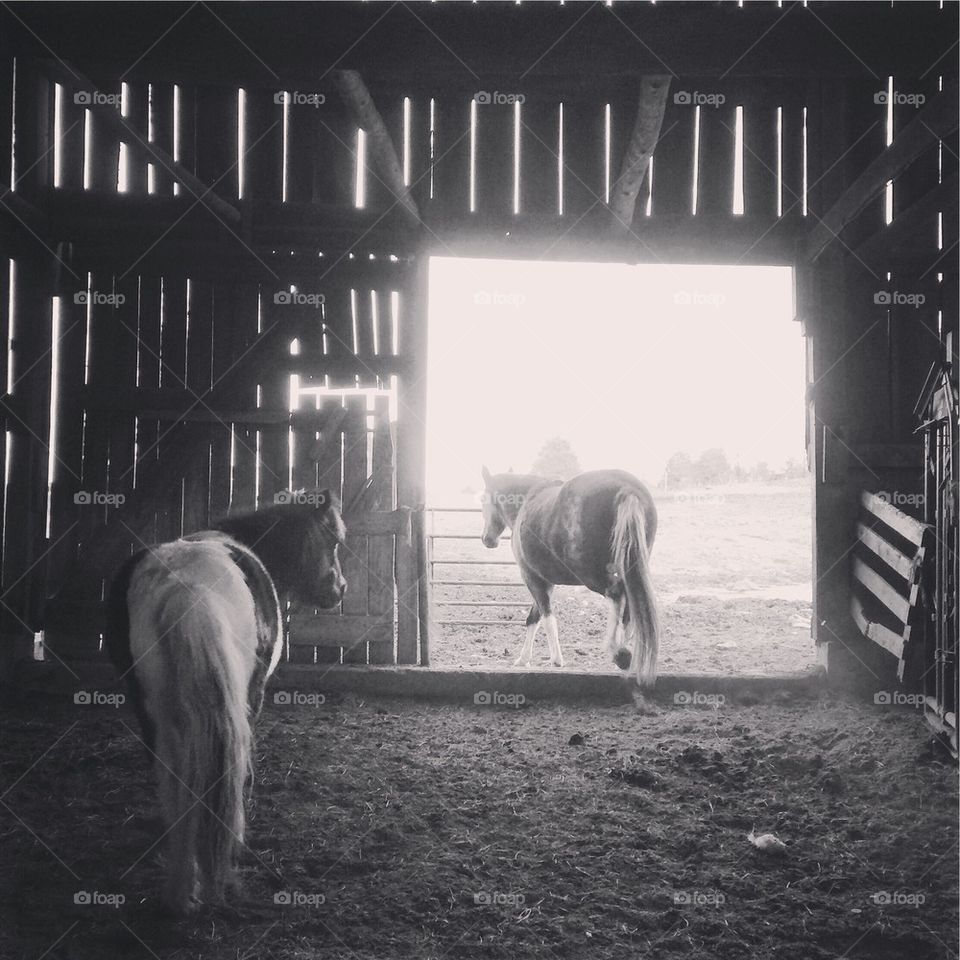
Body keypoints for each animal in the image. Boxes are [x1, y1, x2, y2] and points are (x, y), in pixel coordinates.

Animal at [106, 492, 344, 912]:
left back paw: (181, 887)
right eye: (331, 540)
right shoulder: (251, 697)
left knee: (172, 775)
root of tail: (183, 586)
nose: (340, 589)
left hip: (155, 711)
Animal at [480, 468, 660, 688]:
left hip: (591, 575)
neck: (528, 499)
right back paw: (623, 651)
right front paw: (524, 659)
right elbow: (534, 617)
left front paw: (555, 660)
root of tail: (627, 489)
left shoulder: (532, 578)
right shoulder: (546, 582)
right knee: (630, 605)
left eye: (484, 499)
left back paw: (617, 651)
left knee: (617, 596)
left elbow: (546, 617)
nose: (487, 539)